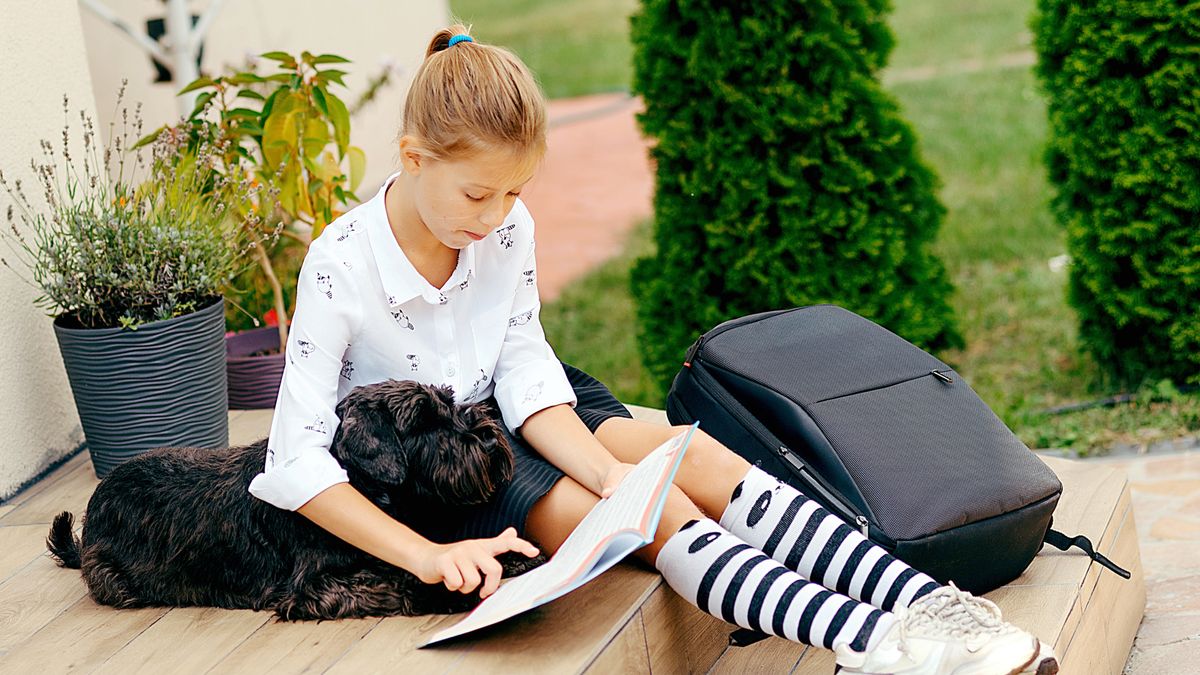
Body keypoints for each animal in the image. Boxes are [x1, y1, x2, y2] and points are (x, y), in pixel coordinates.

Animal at [45, 374, 544, 619]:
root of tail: (92, 512)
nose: (487, 436)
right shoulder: (317, 589)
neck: (356, 482)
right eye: (420, 421)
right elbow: (395, 581)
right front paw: (450, 593)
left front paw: (512, 556)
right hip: (113, 579)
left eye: (448, 401)